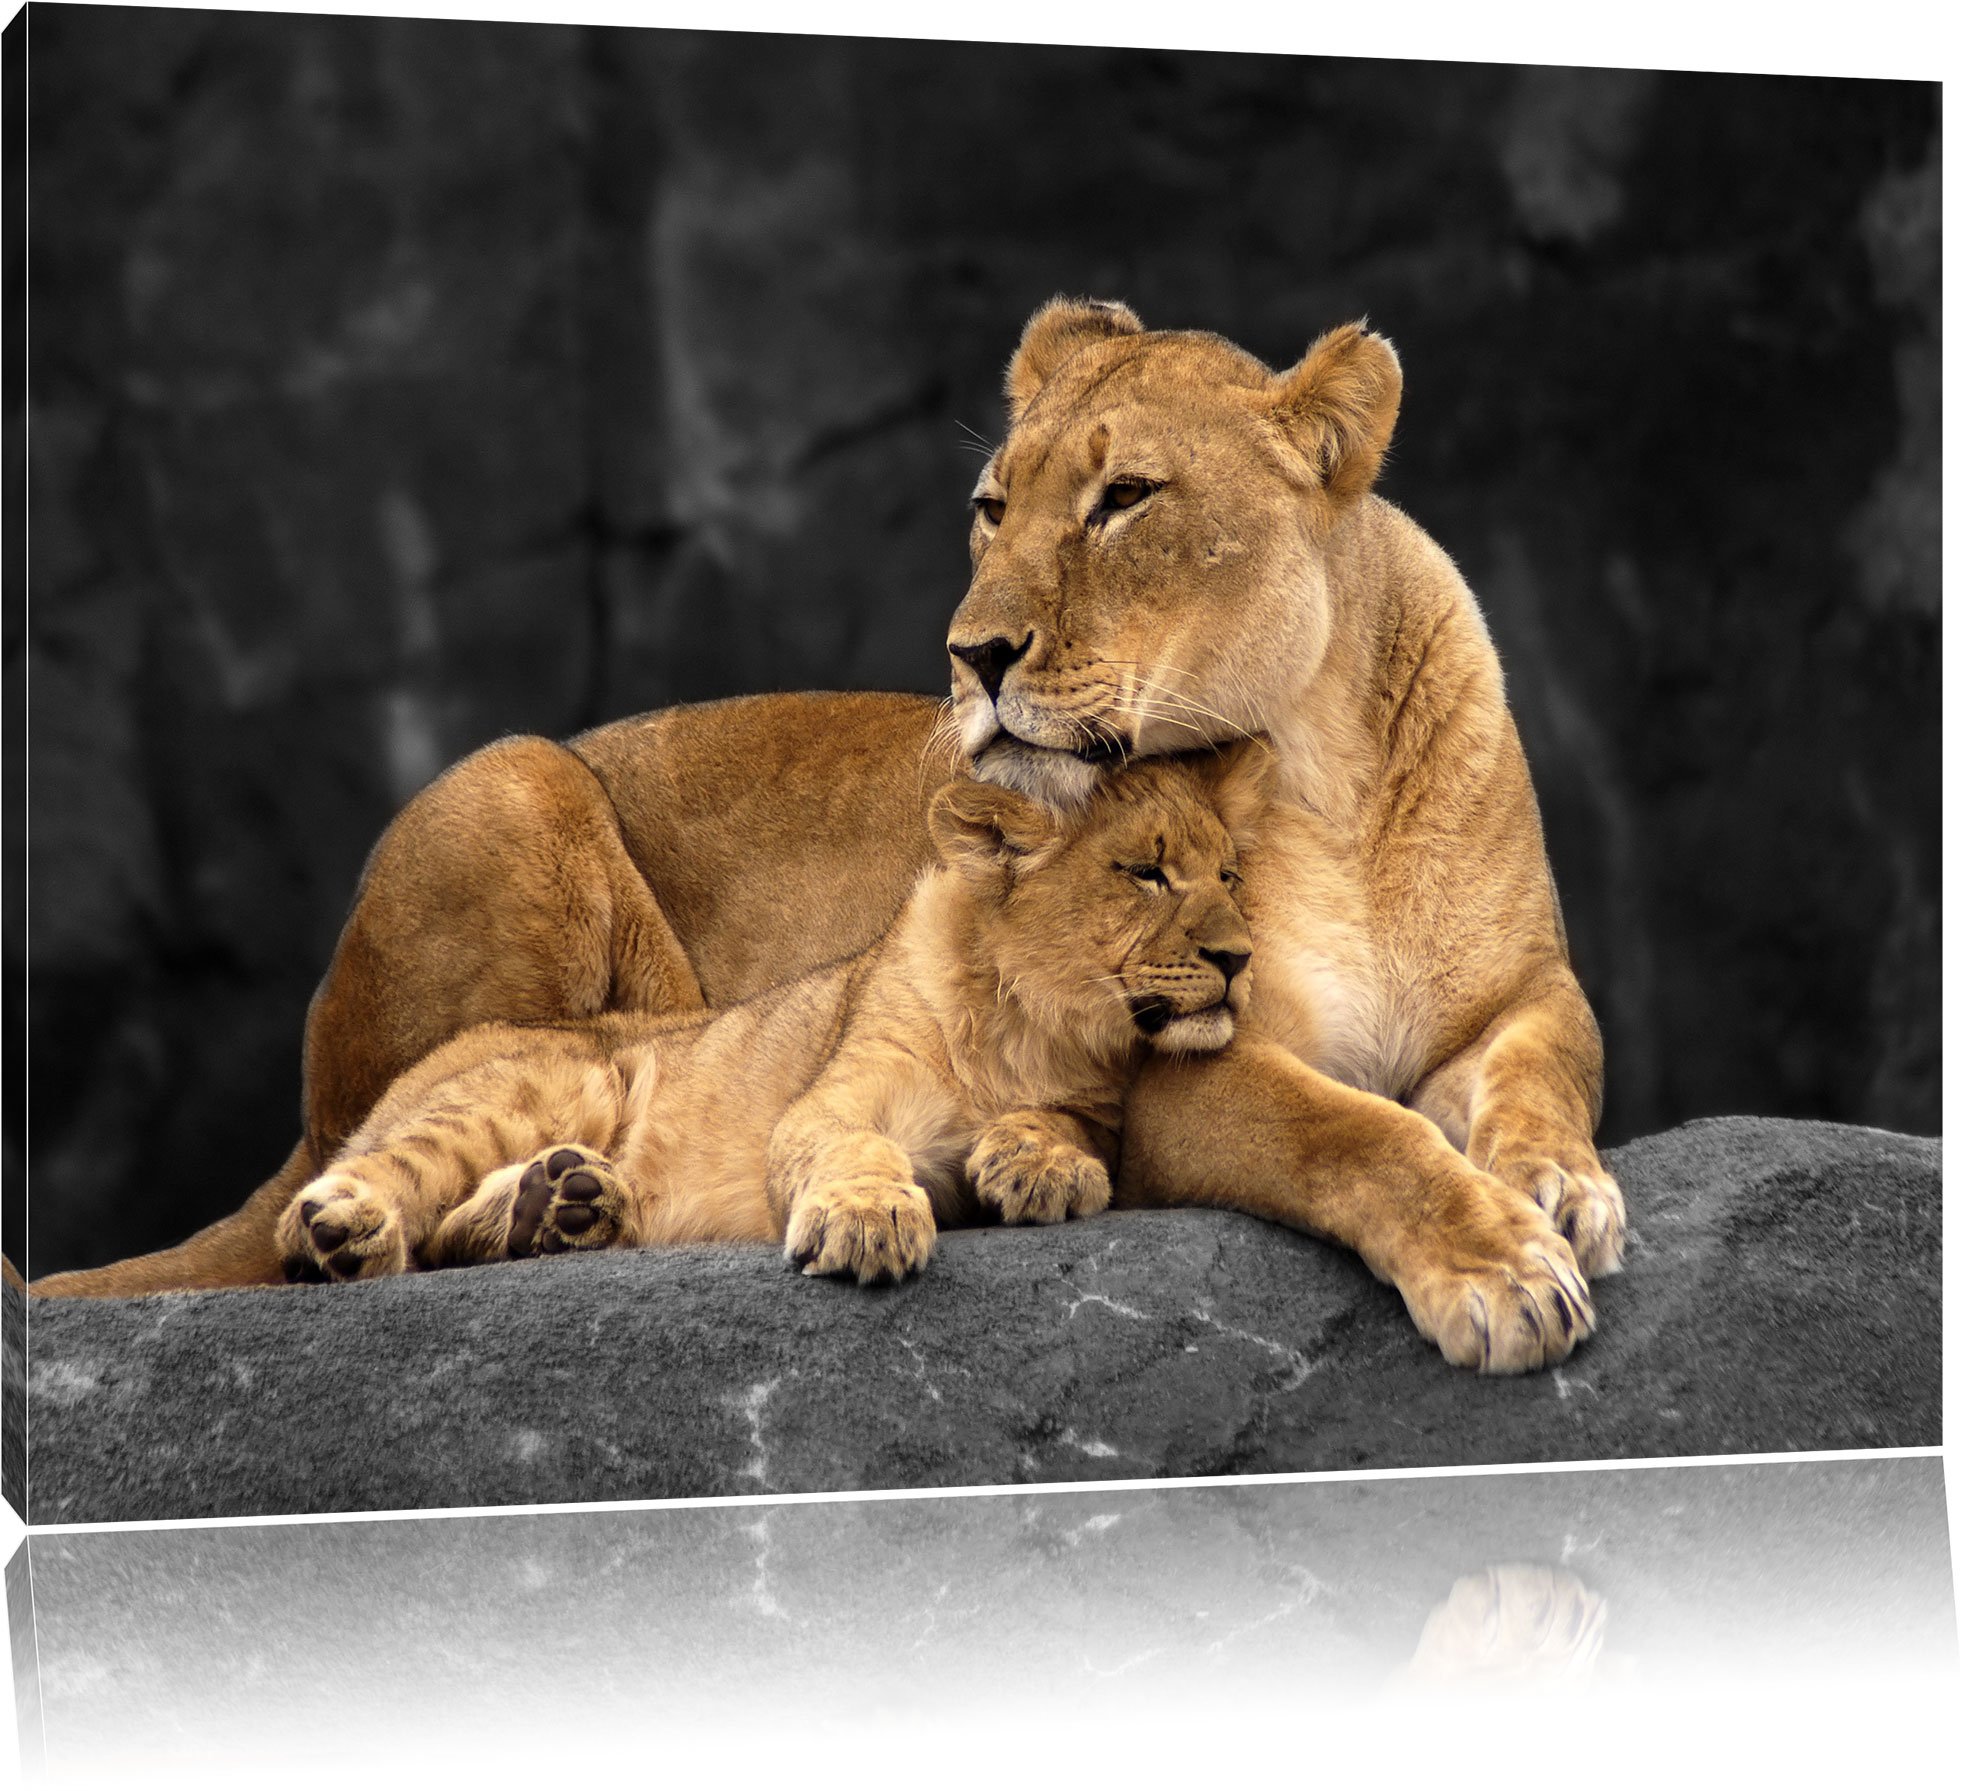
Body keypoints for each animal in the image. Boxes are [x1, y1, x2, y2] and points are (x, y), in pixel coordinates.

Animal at [271, 753, 1262, 1286]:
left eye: (1229, 877)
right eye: (1146, 873)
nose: (1240, 956)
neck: (1033, 1027)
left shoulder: (1099, 1105)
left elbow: (1072, 1127)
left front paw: (1040, 1164)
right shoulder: (829, 1101)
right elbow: (854, 1148)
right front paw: (868, 1222)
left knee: (450, 1232)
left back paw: (561, 1207)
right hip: (558, 1077)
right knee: (353, 1200)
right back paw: (350, 1232)